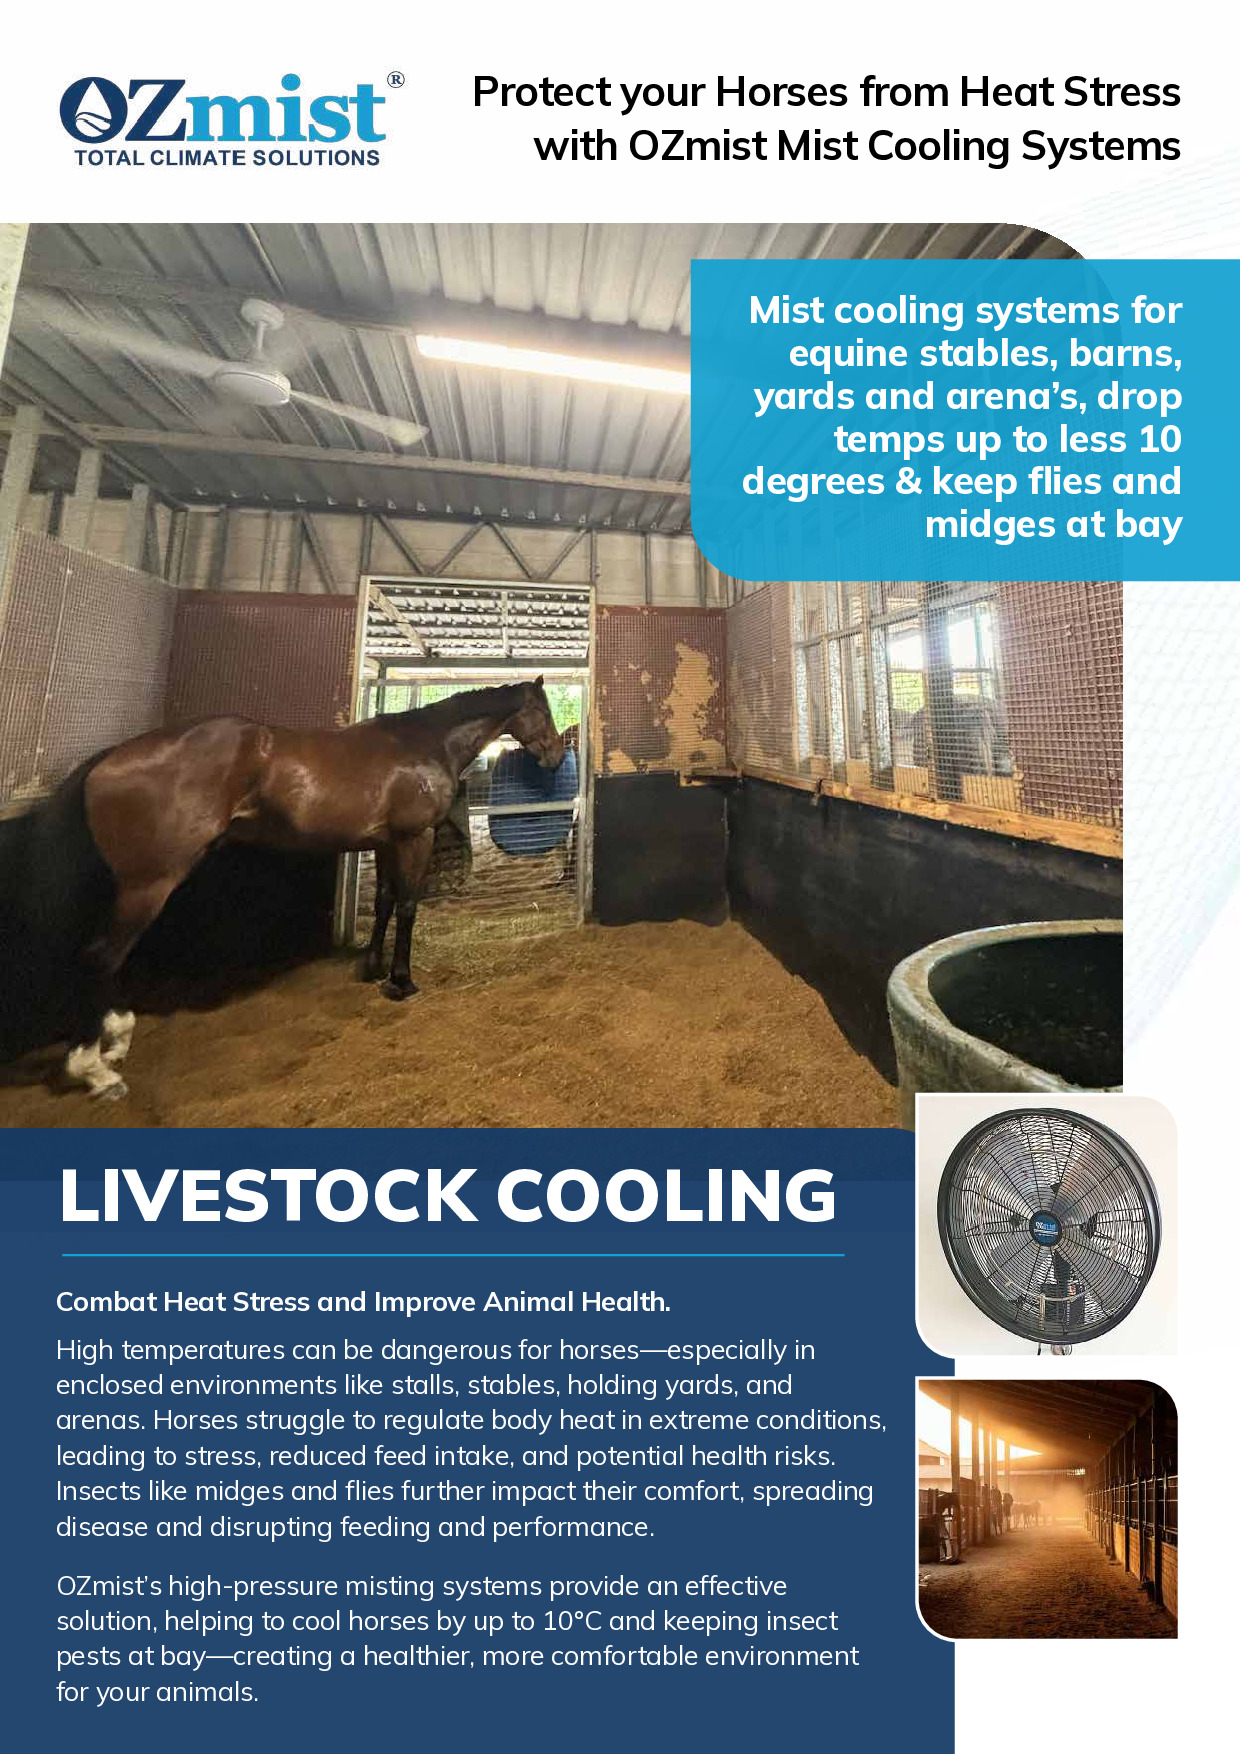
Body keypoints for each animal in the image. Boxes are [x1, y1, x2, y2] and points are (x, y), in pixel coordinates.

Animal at [37, 678, 564, 1101]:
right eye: (543, 709)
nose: (557, 755)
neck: (425, 743)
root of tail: (107, 760)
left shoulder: (386, 843)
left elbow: (384, 902)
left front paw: (372, 969)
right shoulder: (415, 839)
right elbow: (408, 906)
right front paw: (402, 980)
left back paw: (115, 1038)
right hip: (149, 884)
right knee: (102, 957)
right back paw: (96, 1069)